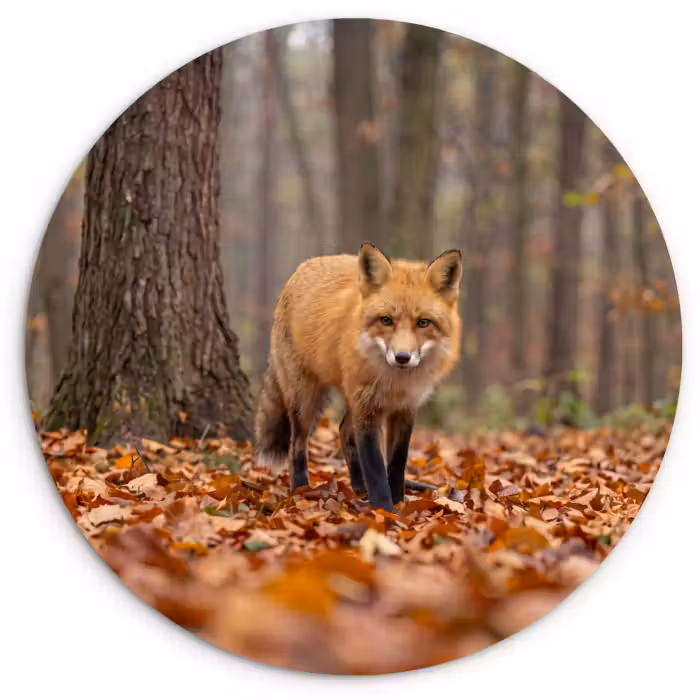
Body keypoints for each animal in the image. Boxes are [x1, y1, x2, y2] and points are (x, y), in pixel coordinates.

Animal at [254, 242, 463, 512]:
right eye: (386, 320)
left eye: (423, 323)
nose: (402, 357)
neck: (395, 384)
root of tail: (302, 267)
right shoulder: (367, 410)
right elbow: (375, 467)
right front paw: (384, 509)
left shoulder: (404, 410)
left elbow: (396, 463)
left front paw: (398, 501)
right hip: (305, 398)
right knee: (296, 445)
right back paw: (300, 488)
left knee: (344, 431)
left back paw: (359, 486)